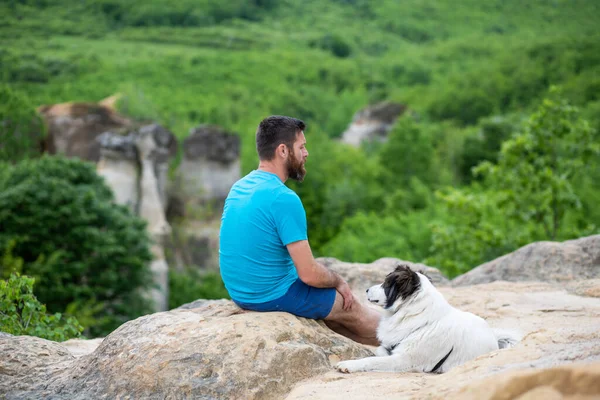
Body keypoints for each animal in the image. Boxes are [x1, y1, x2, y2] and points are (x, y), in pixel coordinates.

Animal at [336, 264, 516, 374]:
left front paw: (348, 365)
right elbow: (379, 352)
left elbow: (371, 360)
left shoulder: (404, 360)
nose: (366, 290)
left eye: (386, 284)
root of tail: (494, 337)